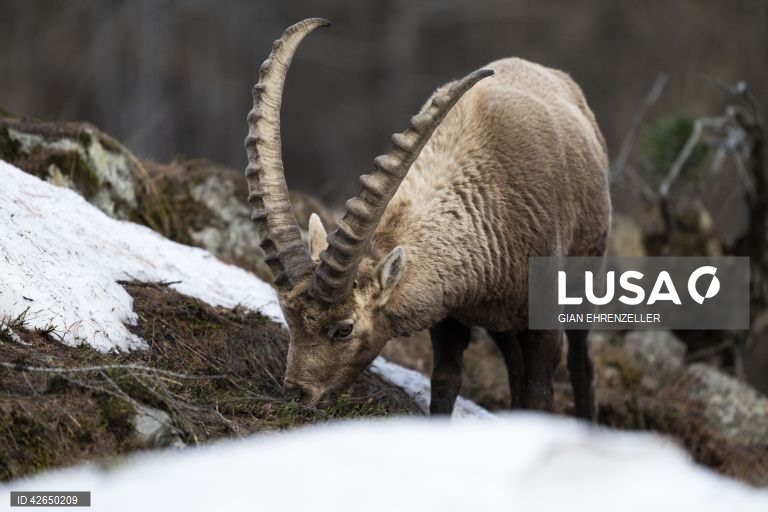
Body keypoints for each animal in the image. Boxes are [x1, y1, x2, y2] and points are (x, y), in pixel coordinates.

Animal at [244, 19, 611, 418]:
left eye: (344, 328)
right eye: (289, 318)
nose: (298, 395)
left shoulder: (543, 322)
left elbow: (541, 395)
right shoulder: (450, 314)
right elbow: (446, 384)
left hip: (586, 270)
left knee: (581, 362)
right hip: (499, 324)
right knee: (514, 370)